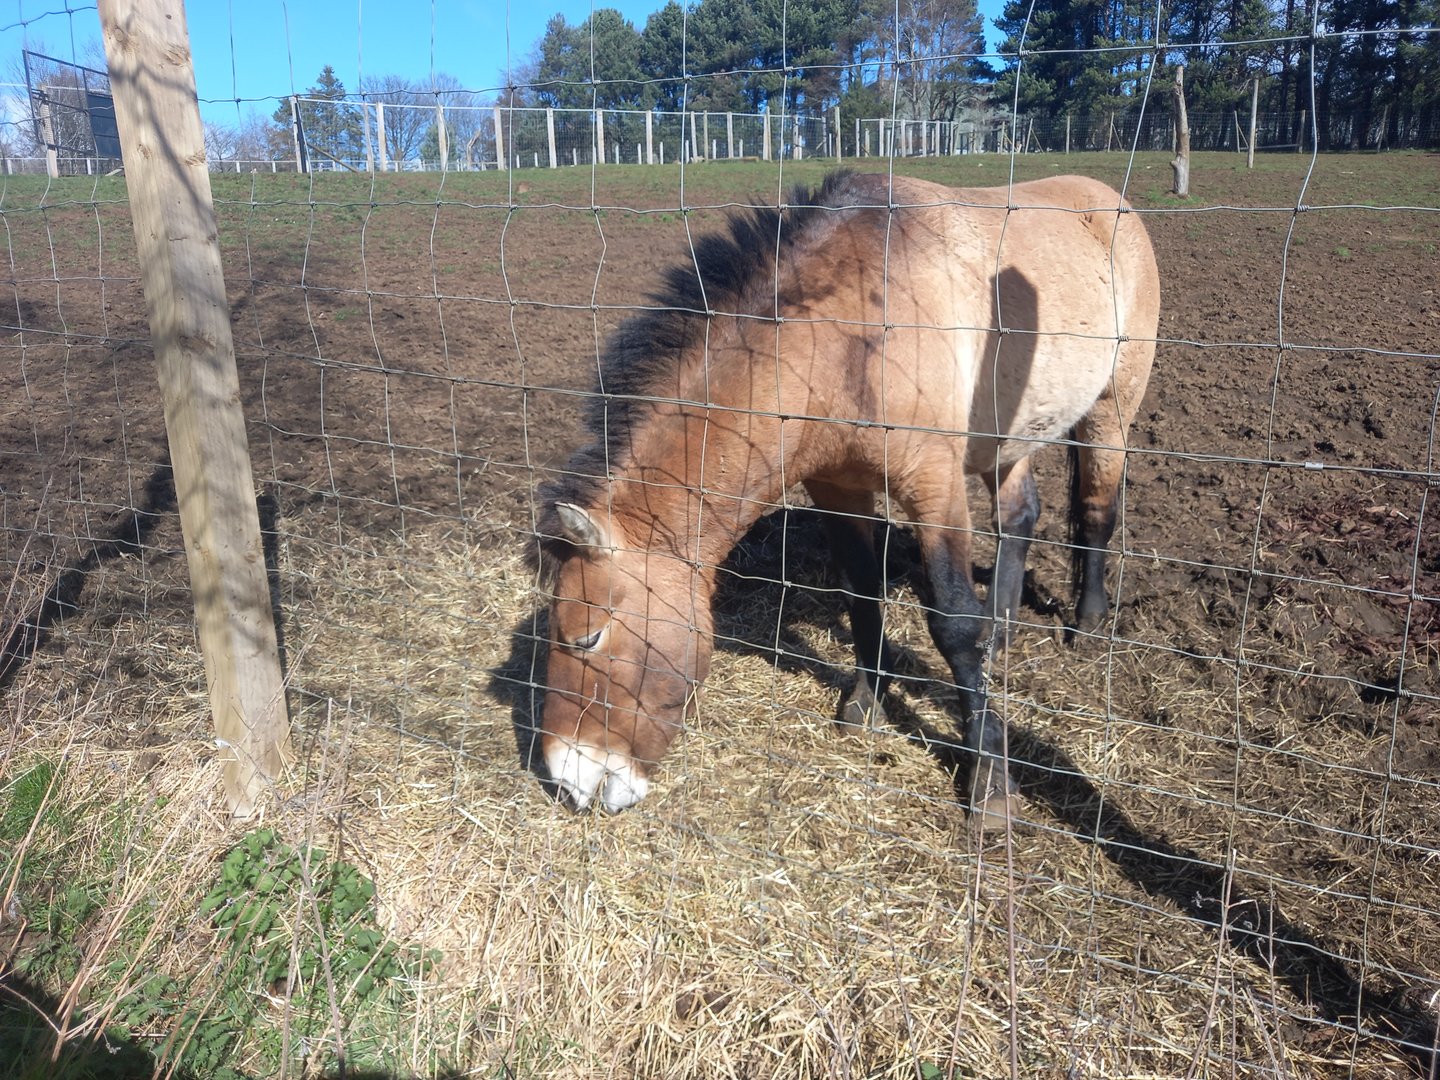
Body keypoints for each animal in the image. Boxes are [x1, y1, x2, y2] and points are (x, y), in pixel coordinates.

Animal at [532, 170, 1160, 820]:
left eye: (588, 637)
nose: (568, 777)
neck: (846, 336)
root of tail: (1107, 199)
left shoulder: (935, 489)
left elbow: (954, 625)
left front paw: (989, 782)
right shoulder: (838, 488)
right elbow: (863, 591)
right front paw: (866, 699)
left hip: (1112, 409)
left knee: (1095, 511)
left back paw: (1088, 621)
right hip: (1006, 436)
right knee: (1020, 515)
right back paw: (1005, 625)